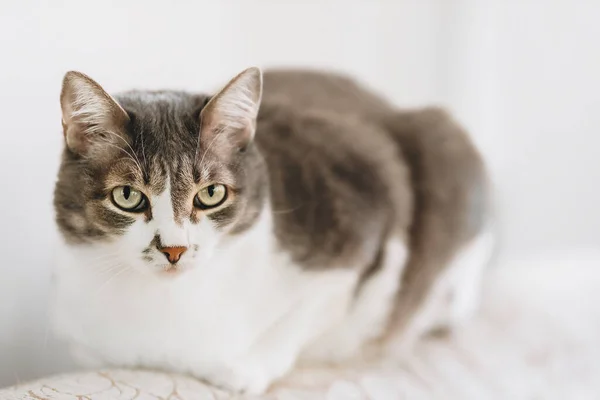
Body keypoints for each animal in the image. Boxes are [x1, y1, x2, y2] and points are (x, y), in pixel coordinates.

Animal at [50, 65, 492, 394]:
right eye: (127, 196)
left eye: (211, 193)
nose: (174, 250)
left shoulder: (367, 207)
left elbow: (311, 310)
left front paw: (246, 369)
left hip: (444, 145)